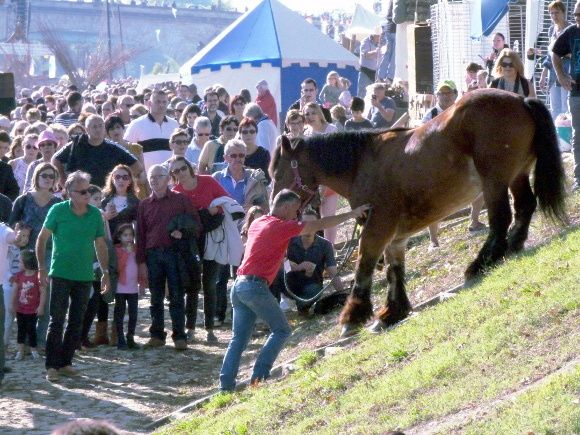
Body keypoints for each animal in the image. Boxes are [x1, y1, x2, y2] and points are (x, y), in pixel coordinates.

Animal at [270, 89, 568, 338]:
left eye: (278, 173)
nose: (274, 208)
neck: (362, 164)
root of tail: (521, 100)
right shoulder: (395, 235)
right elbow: (394, 269)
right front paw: (393, 311)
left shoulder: (378, 225)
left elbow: (364, 263)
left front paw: (353, 315)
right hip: (517, 174)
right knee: (524, 206)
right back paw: (514, 244)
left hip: (494, 181)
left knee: (501, 218)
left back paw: (481, 263)